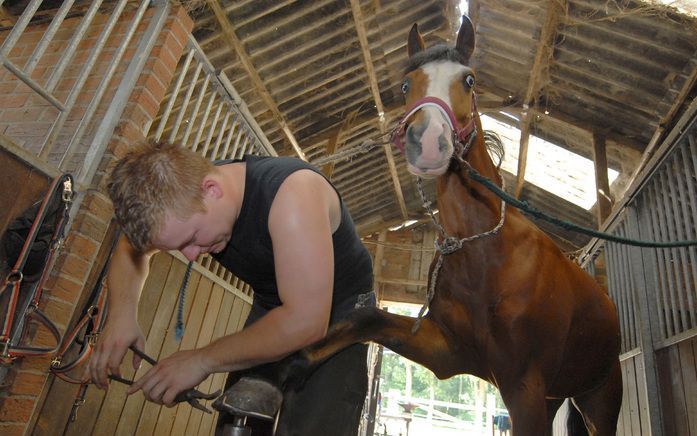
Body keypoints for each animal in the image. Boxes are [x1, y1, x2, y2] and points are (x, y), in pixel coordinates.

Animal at [286, 14, 624, 436]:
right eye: (406, 84)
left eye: (469, 80)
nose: (429, 142)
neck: (484, 250)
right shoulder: (444, 349)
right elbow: (367, 318)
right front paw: (293, 365)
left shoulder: (523, 385)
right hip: (554, 398)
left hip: (600, 399)